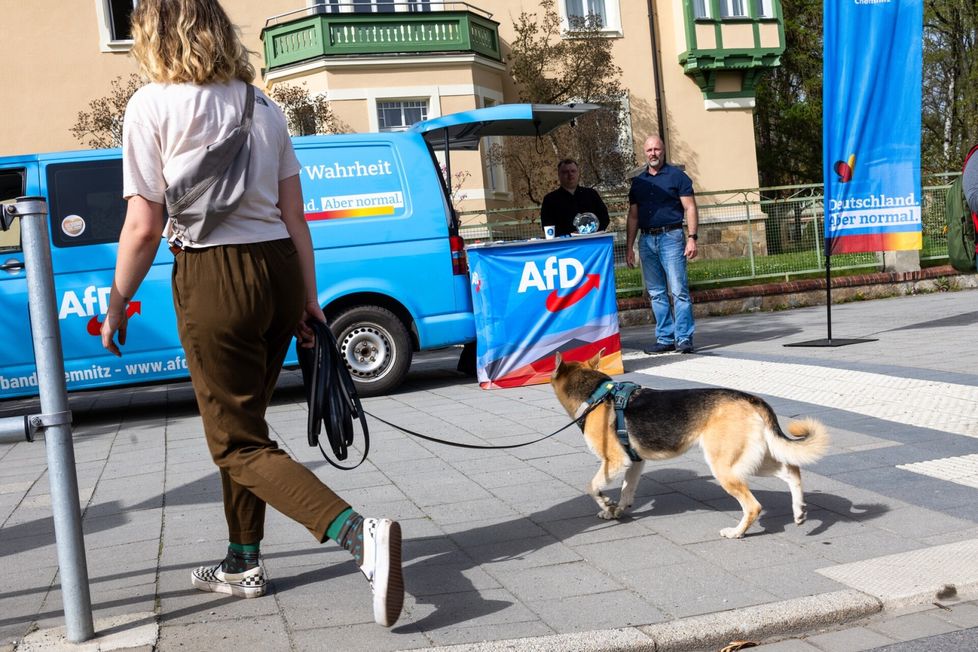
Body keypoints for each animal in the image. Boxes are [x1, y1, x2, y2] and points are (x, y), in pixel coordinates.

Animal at [552, 352, 828, 540]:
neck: (595, 394)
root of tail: (751, 399)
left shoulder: (614, 461)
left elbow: (592, 487)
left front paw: (605, 504)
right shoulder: (634, 463)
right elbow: (626, 492)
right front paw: (615, 512)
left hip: (725, 467)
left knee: (754, 506)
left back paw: (736, 532)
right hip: (750, 460)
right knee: (792, 470)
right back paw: (799, 512)